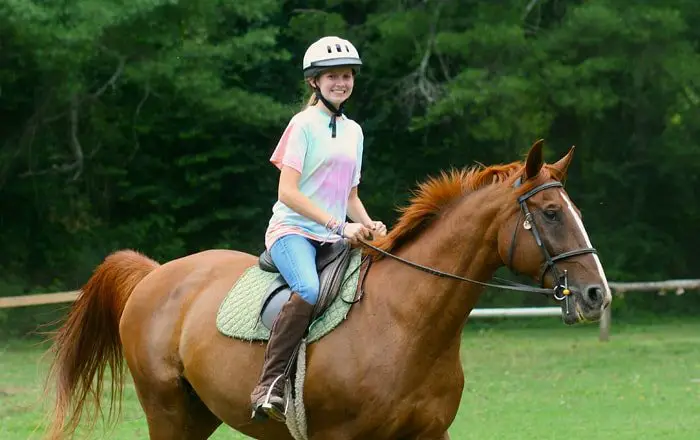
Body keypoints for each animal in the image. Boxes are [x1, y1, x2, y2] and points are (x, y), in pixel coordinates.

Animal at [45, 142, 612, 440]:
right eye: (551, 213)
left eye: (575, 211)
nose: (596, 295)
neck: (406, 323)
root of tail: (155, 274)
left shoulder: (429, 433)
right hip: (168, 414)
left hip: (196, 414)